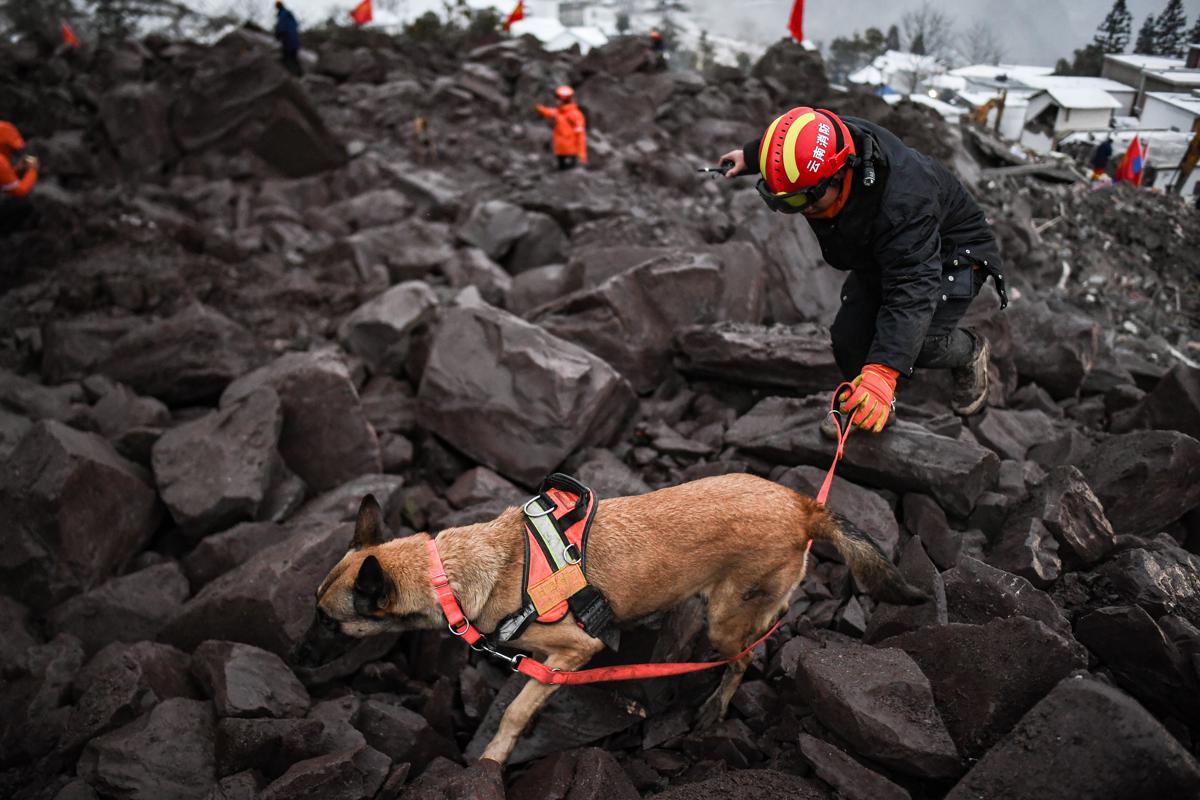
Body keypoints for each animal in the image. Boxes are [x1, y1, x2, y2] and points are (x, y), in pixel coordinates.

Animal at [295, 472, 921, 767]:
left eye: (328, 622)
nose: (297, 661)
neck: (454, 571)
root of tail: (804, 506)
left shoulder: (574, 651)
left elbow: (517, 709)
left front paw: (494, 758)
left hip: (723, 618)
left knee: (743, 657)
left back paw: (716, 704)